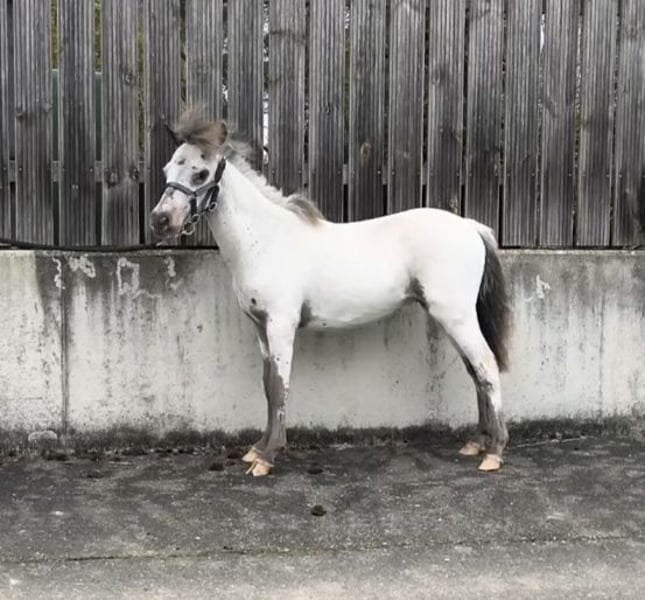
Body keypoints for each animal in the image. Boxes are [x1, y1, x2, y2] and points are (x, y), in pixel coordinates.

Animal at [150, 110, 512, 477]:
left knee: (486, 365)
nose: (160, 221)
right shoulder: (261, 328)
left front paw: (267, 458)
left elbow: (279, 387)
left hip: (456, 317)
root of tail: (471, 227)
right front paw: (257, 450)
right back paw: (475, 443)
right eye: (168, 170)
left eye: (200, 172)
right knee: (475, 371)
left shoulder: (281, 325)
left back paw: (494, 452)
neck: (264, 240)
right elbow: (267, 385)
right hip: (452, 318)